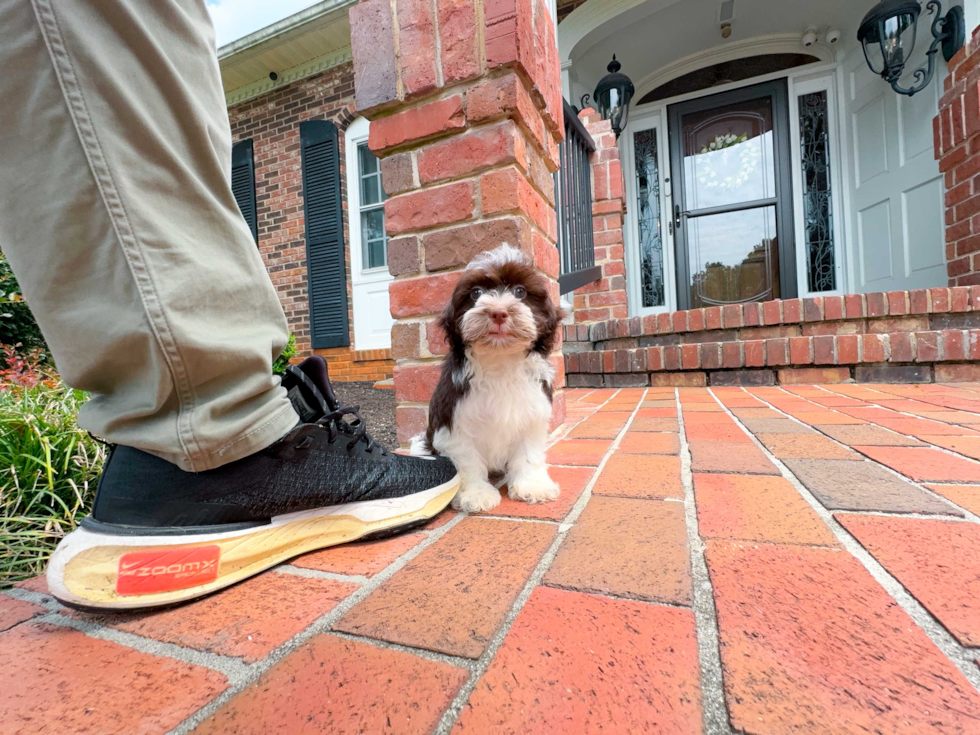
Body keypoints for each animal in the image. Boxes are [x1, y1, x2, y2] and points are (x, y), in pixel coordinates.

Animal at [412, 243, 564, 512]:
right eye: (476, 293)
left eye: (520, 291)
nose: (498, 312)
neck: (500, 360)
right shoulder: (455, 421)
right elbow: (467, 460)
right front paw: (476, 494)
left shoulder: (533, 414)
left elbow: (529, 453)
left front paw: (532, 485)